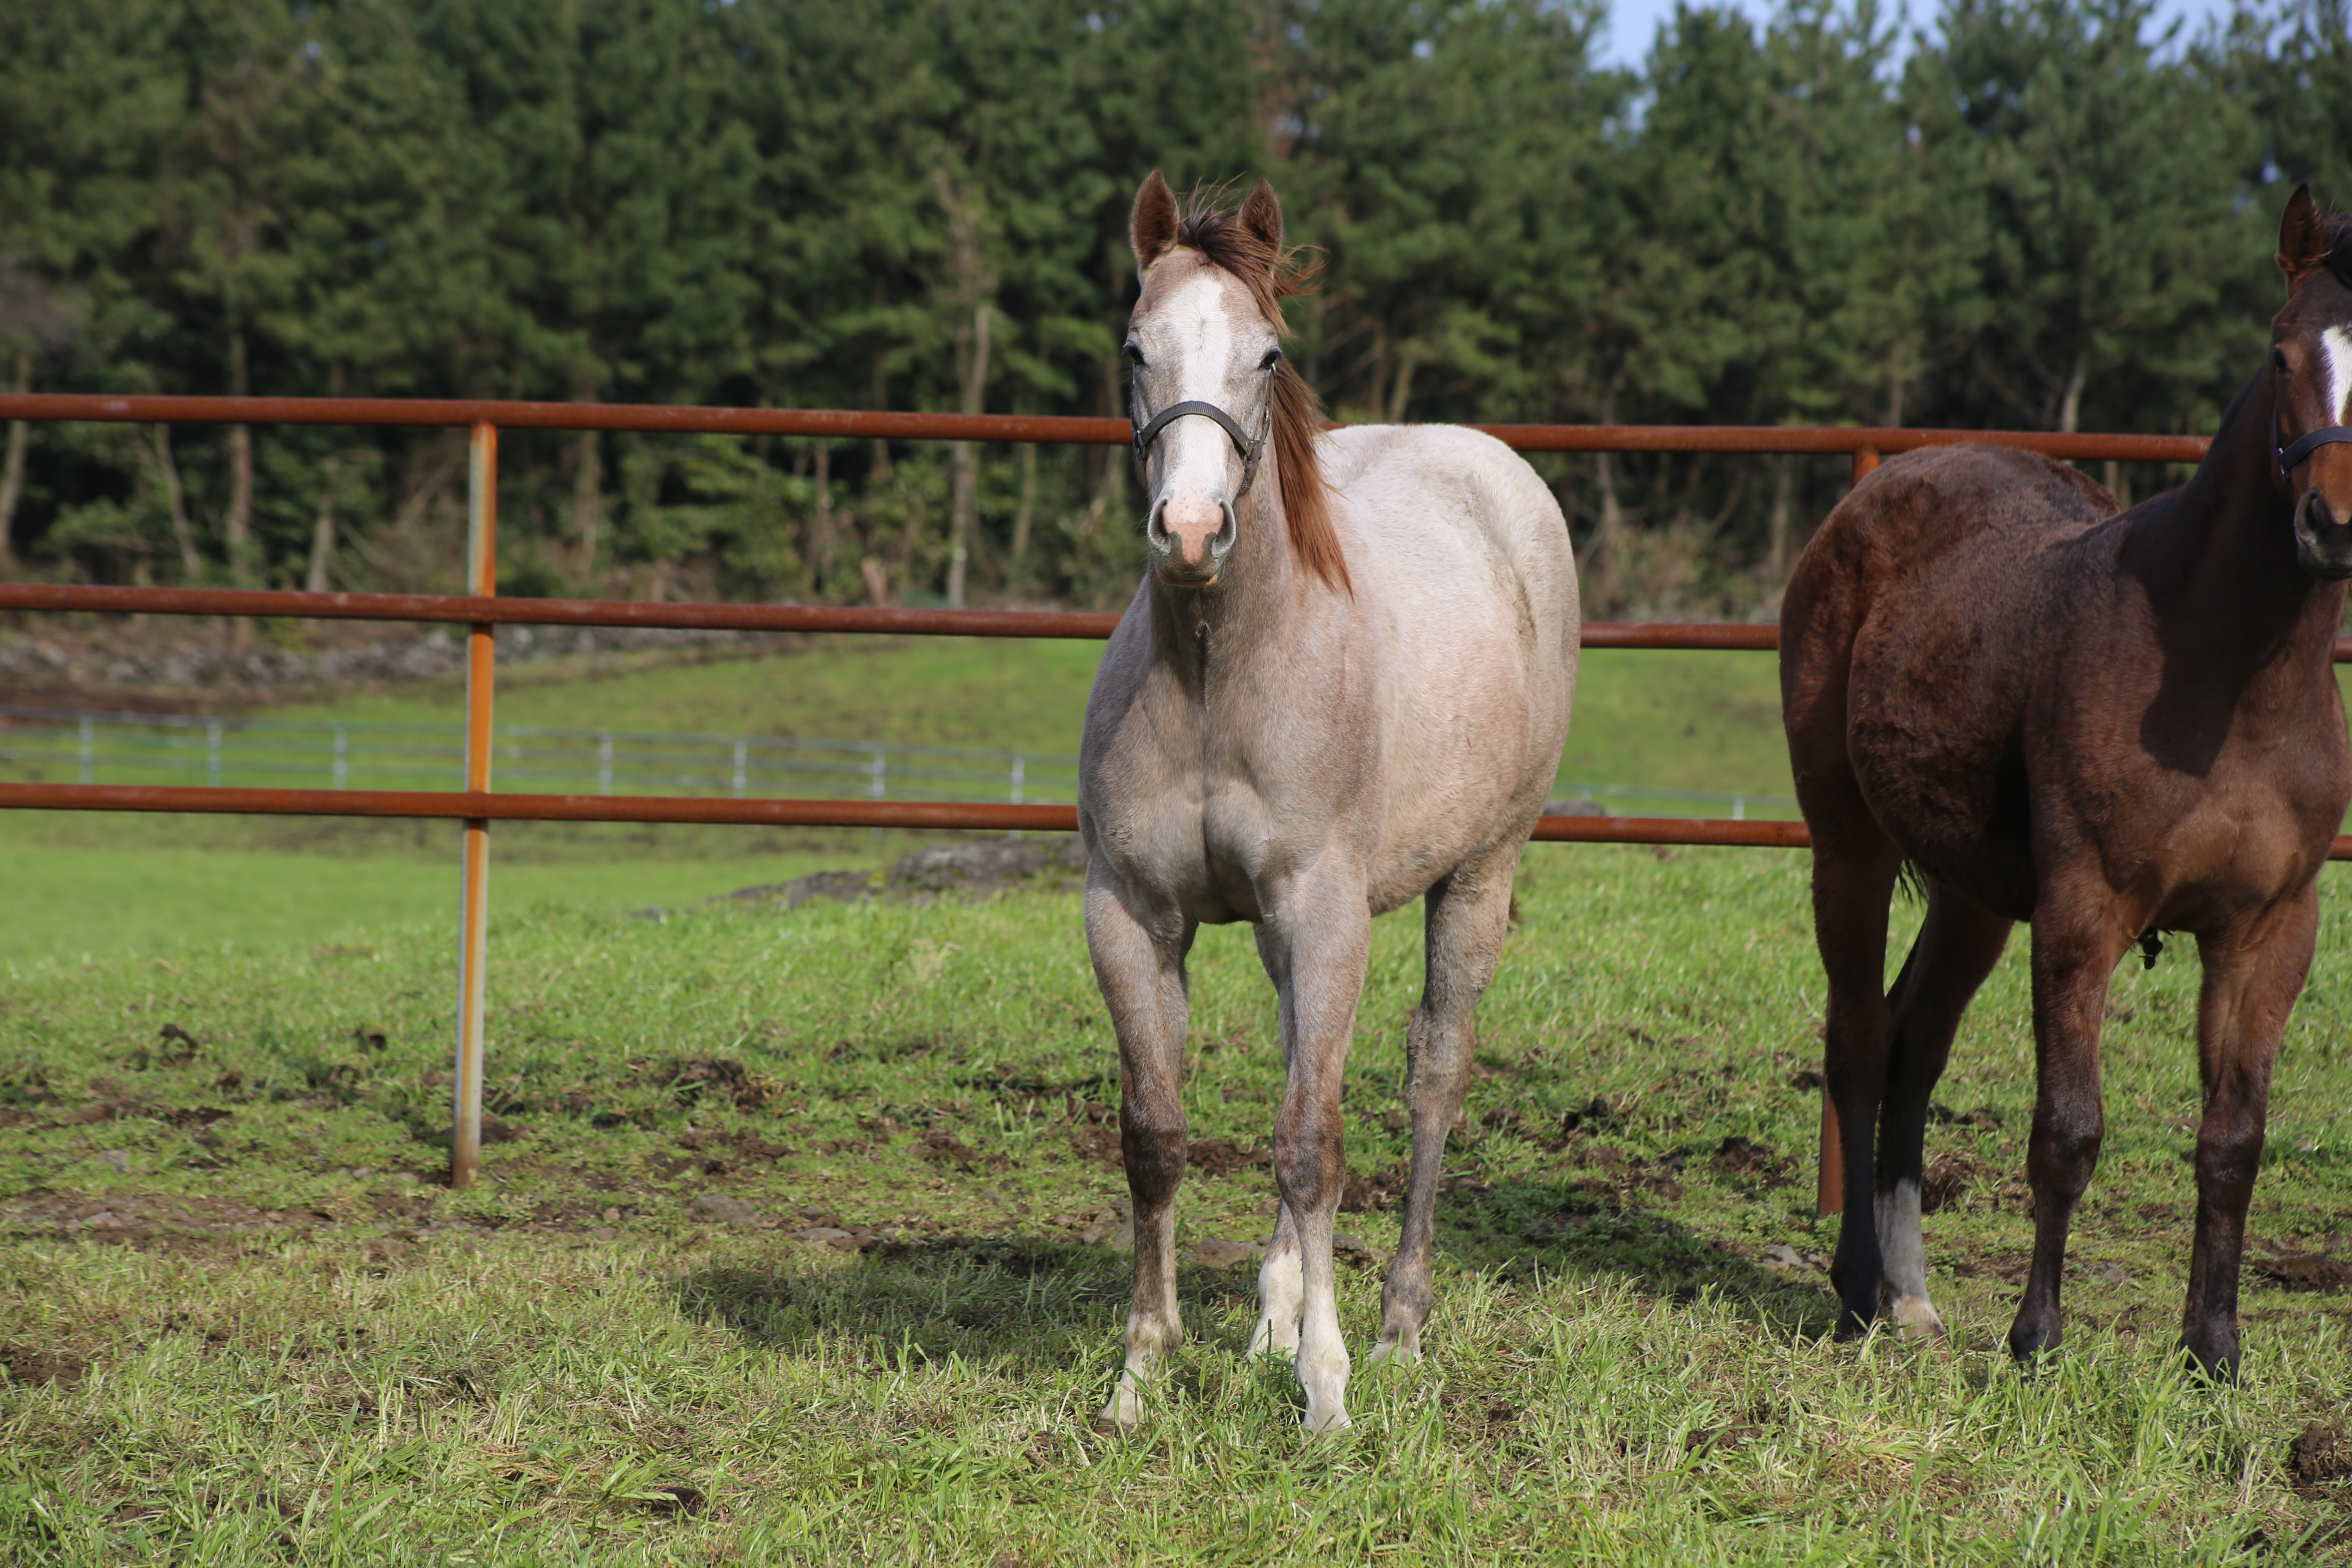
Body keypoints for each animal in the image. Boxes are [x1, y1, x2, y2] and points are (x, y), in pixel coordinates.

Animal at [1082, 175, 1580, 1439]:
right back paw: (1270, 1315)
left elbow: (1312, 1141)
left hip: (1479, 874)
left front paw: (1327, 1386)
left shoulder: (1324, 909)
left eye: (1267, 355)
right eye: (1134, 346)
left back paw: (1398, 1326)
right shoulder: (1132, 916)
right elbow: (1157, 1138)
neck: (1220, 672)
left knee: (1431, 1076)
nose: (1192, 531)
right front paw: (1142, 1373)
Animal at [1778, 187, 2352, 1382]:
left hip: (1974, 895)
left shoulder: (2271, 927)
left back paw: (1910, 1296)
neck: (2225, 681)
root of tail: (1884, 483)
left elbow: (2232, 1139)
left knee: (1913, 1044)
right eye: (2279, 353)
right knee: (1857, 1040)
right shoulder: (2084, 913)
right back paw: (1857, 1290)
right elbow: (2067, 1129)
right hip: (1849, 844)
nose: (2332, 524)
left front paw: (2211, 1350)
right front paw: (2035, 1340)